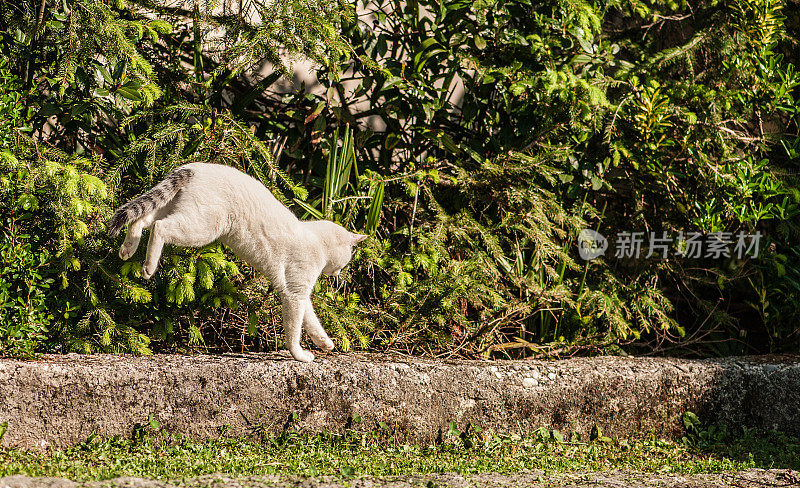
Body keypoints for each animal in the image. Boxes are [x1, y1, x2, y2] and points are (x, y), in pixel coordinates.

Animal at [108, 164, 366, 362]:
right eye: (347, 258)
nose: (338, 274)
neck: (316, 239)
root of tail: (194, 167)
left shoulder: (297, 291)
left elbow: (310, 319)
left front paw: (324, 342)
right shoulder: (295, 292)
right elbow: (295, 328)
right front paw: (299, 355)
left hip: (173, 207)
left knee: (142, 219)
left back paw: (127, 249)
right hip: (202, 226)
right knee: (159, 227)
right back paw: (148, 267)